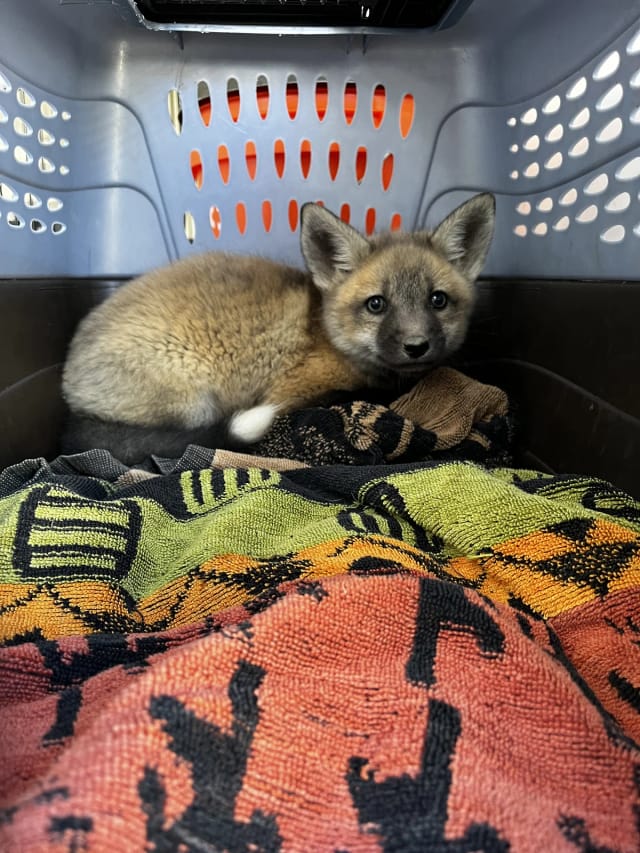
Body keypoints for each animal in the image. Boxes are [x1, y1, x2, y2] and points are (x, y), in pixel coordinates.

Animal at [60, 193, 496, 465]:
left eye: (437, 300)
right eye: (377, 304)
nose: (416, 346)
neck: (327, 335)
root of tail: (67, 384)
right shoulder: (289, 394)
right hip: (196, 402)